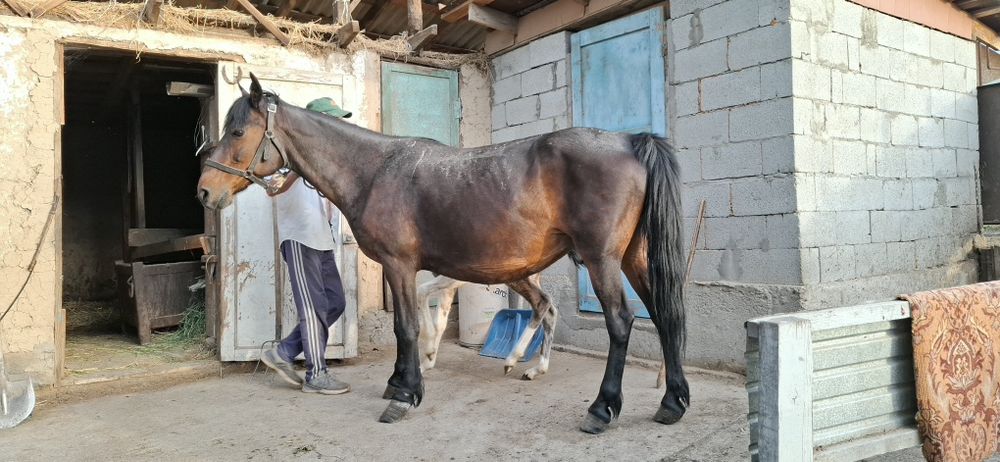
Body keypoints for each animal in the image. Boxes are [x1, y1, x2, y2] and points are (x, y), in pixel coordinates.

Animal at [196, 73, 688, 434]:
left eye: (237, 131)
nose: (205, 191)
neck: (374, 171)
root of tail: (630, 141)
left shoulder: (400, 265)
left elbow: (408, 327)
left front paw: (404, 395)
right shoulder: (407, 270)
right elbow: (413, 323)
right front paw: (399, 382)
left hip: (603, 260)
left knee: (620, 322)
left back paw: (601, 409)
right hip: (633, 259)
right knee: (664, 315)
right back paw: (672, 402)